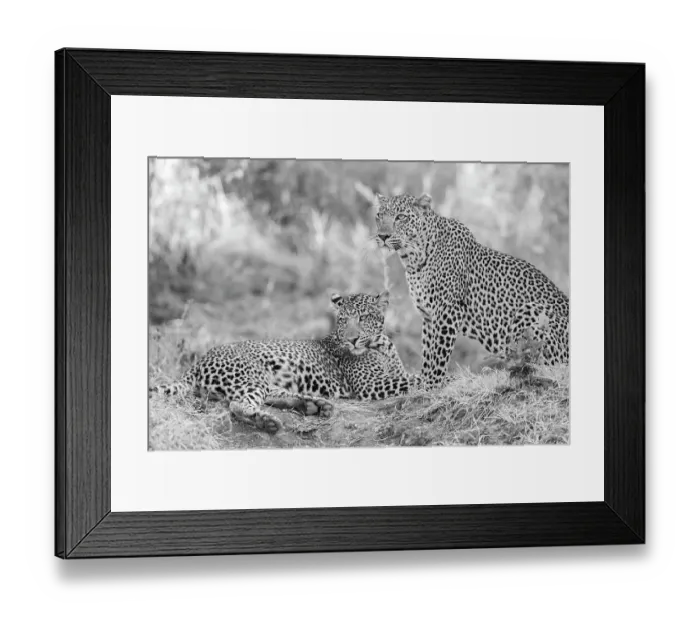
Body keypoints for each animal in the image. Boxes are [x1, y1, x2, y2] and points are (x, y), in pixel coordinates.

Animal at [150, 291, 421, 434]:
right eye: (344, 320)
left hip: (264, 380)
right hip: (251, 376)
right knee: (239, 404)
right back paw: (267, 421)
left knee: (274, 395)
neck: (381, 344)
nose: (351, 338)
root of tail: (196, 364)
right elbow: (414, 379)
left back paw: (313, 405)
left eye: (364, 317)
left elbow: (407, 376)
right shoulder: (369, 385)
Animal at [373, 192, 570, 388]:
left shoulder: (448, 310)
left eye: (401, 217)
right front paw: (426, 383)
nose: (383, 236)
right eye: (379, 216)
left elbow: (438, 354)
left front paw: (433, 385)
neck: (413, 259)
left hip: (532, 311)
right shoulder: (428, 316)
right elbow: (428, 354)